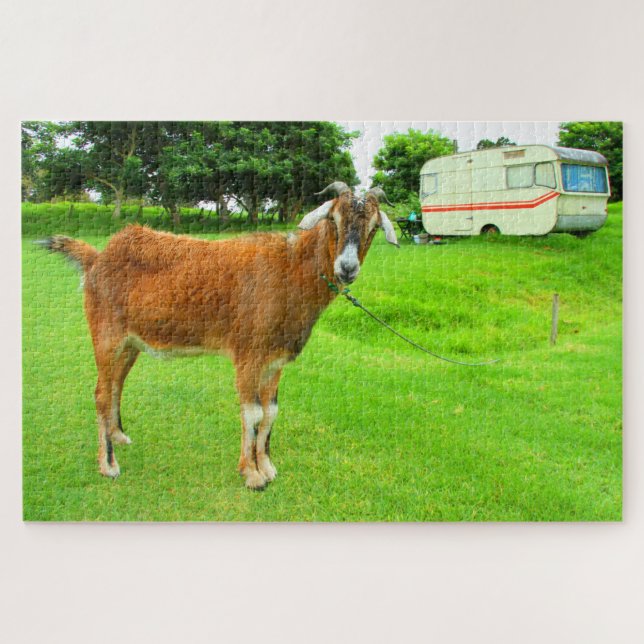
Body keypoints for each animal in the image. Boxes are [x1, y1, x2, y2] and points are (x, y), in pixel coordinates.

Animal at [38, 182, 399, 489]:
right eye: (333, 220)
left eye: (373, 227)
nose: (347, 268)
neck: (290, 270)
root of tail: (97, 259)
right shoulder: (248, 354)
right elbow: (253, 413)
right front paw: (252, 475)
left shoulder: (275, 360)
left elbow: (271, 412)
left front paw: (267, 466)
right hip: (105, 333)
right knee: (101, 392)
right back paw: (108, 465)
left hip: (130, 343)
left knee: (115, 385)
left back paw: (118, 436)